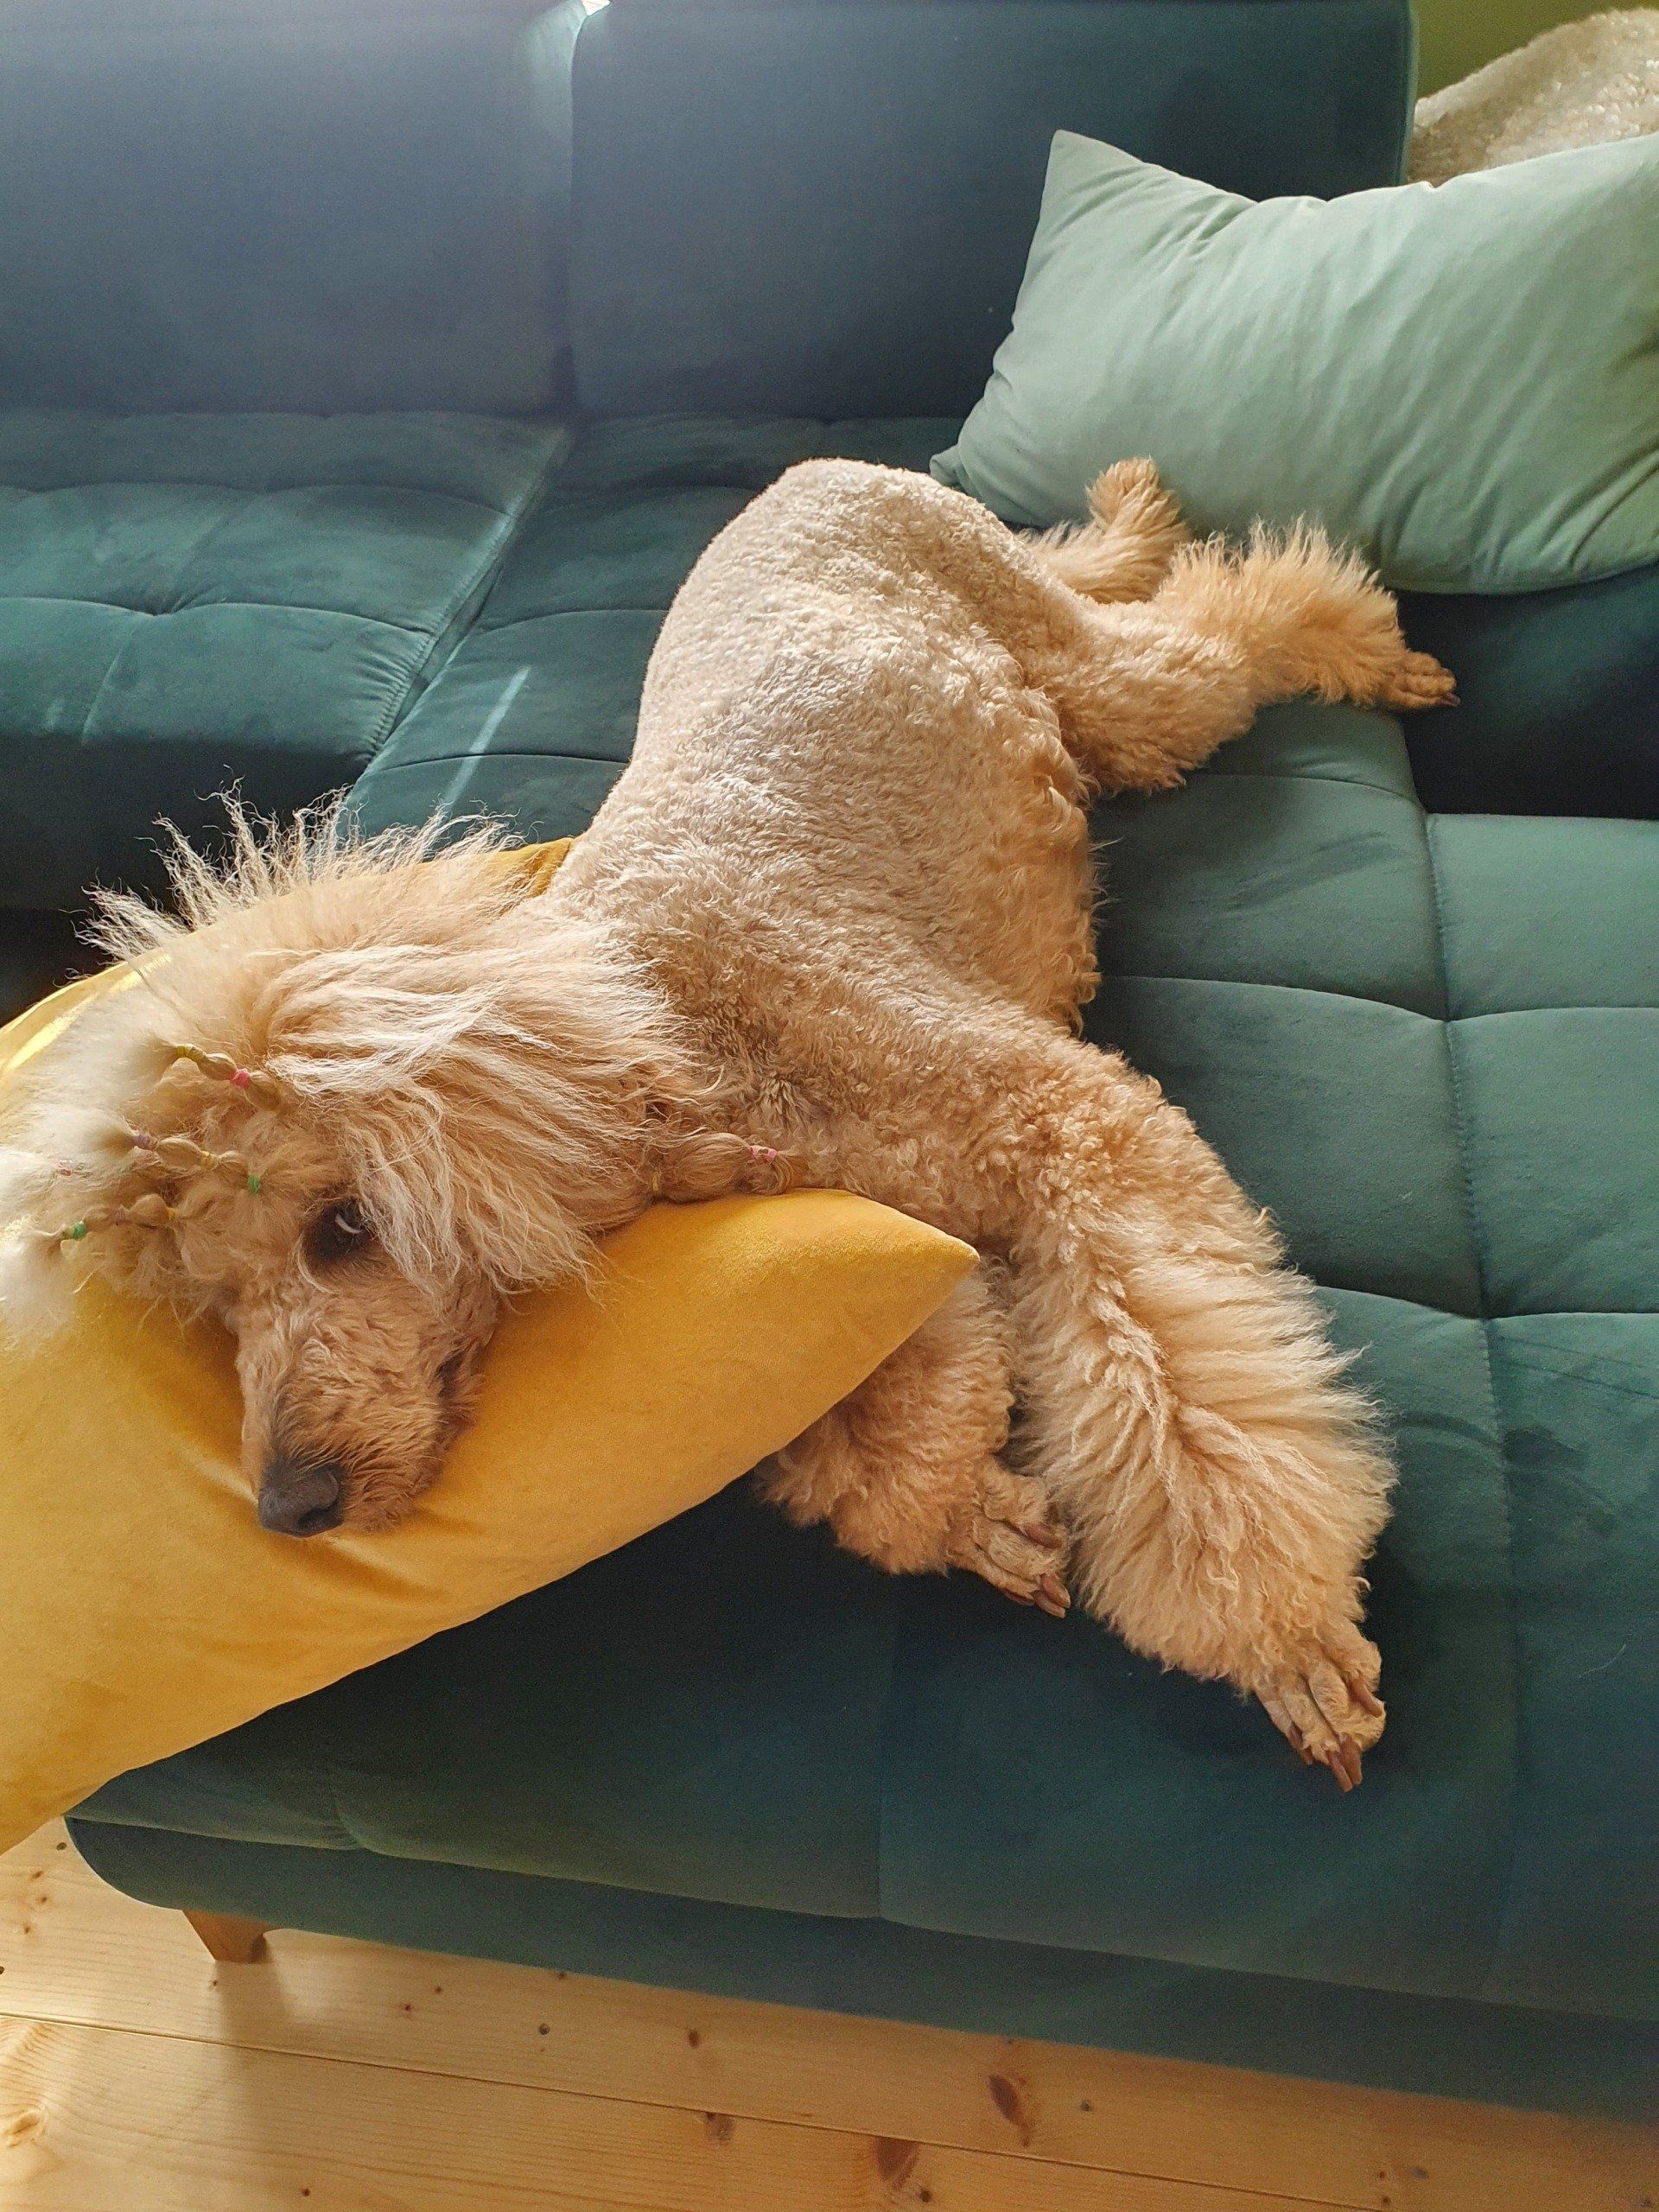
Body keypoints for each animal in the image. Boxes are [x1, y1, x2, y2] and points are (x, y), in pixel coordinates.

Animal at [0, 459, 1454, 1786]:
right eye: (217, 1302)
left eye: (343, 1227)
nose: (292, 1507)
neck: (681, 1044)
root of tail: (820, 467)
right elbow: (867, 1428)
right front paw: (971, 1512)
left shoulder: (1073, 1131)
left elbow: (1188, 1421)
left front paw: (1277, 1637)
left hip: (1096, 682)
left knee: (1234, 610)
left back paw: (1361, 646)